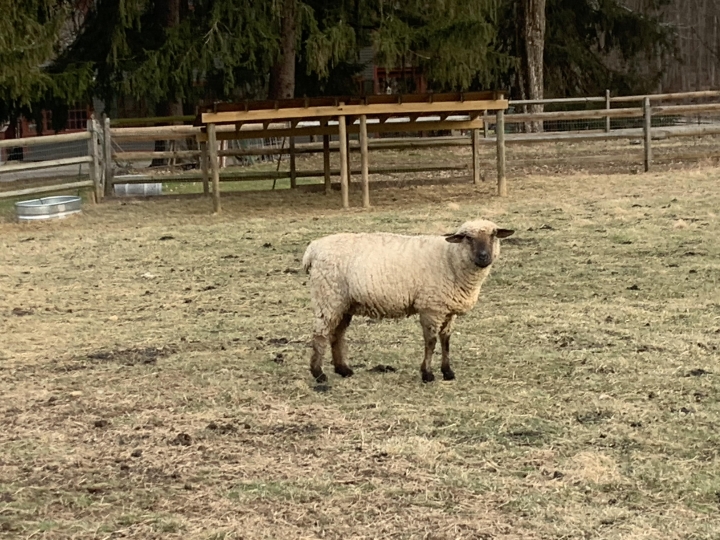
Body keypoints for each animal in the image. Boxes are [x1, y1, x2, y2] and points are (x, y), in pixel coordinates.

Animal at [300, 219, 516, 384]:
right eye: (468, 238)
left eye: (494, 235)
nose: (484, 257)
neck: (450, 258)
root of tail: (313, 249)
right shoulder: (431, 307)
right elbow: (431, 341)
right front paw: (427, 374)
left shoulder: (447, 309)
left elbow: (445, 341)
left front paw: (447, 372)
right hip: (328, 296)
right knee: (320, 334)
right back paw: (319, 374)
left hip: (344, 303)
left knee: (337, 334)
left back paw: (343, 370)